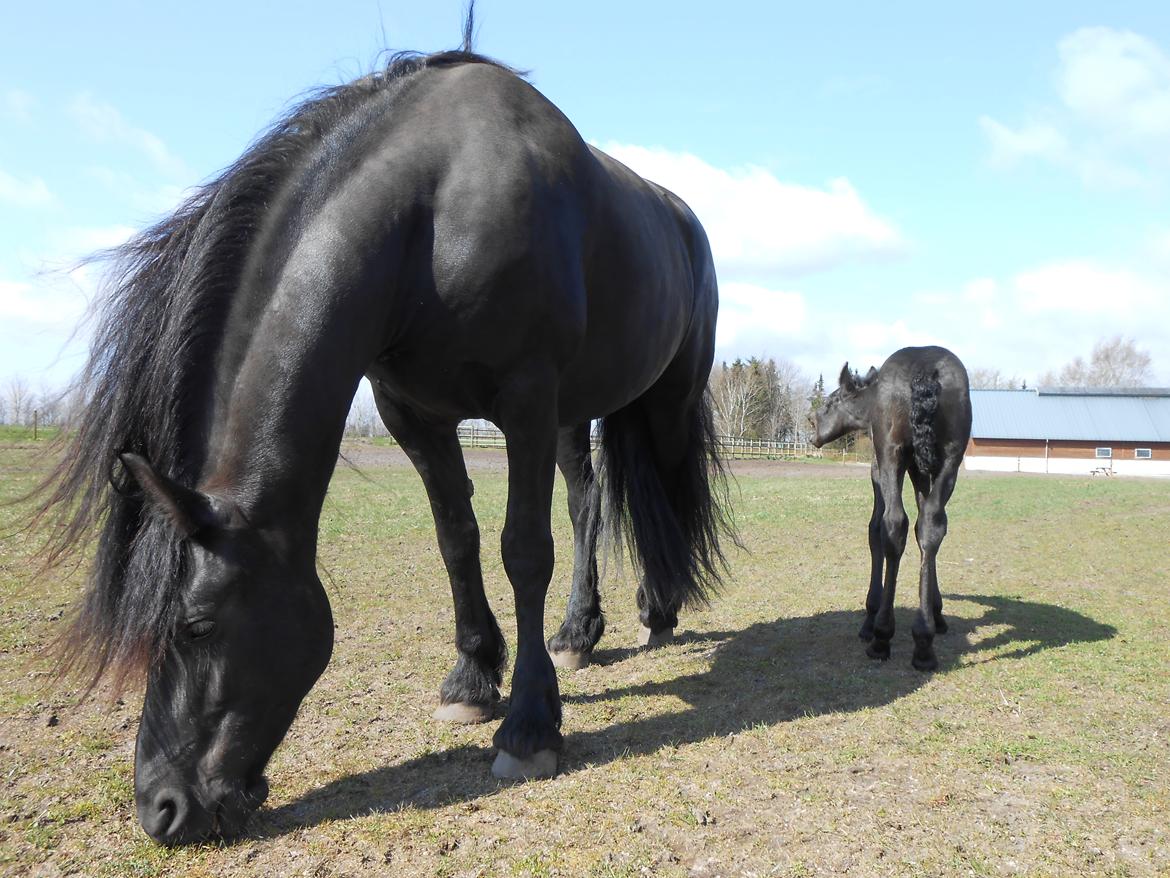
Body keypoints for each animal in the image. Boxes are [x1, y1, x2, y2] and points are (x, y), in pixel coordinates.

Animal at [34, 39, 730, 847]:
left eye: (196, 625)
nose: (160, 809)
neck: (430, 213)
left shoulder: (525, 399)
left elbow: (523, 550)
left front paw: (529, 726)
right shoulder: (415, 416)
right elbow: (457, 540)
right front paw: (472, 679)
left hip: (664, 401)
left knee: (663, 494)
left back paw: (660, 607)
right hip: (572, 412)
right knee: (588, 501)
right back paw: (578, 632)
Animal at [809, 346, 973, 669]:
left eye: (832, 401)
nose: (811, 423)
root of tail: (926, 370)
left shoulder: (878, 466)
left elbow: (875, 530)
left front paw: (869, 620)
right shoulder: (921, 470)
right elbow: (925, 527)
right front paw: (937, 613)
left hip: (891, 455)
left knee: (894, 524)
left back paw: (882, 636)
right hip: (950, 459)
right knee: (932, 525)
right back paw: (924, 642)